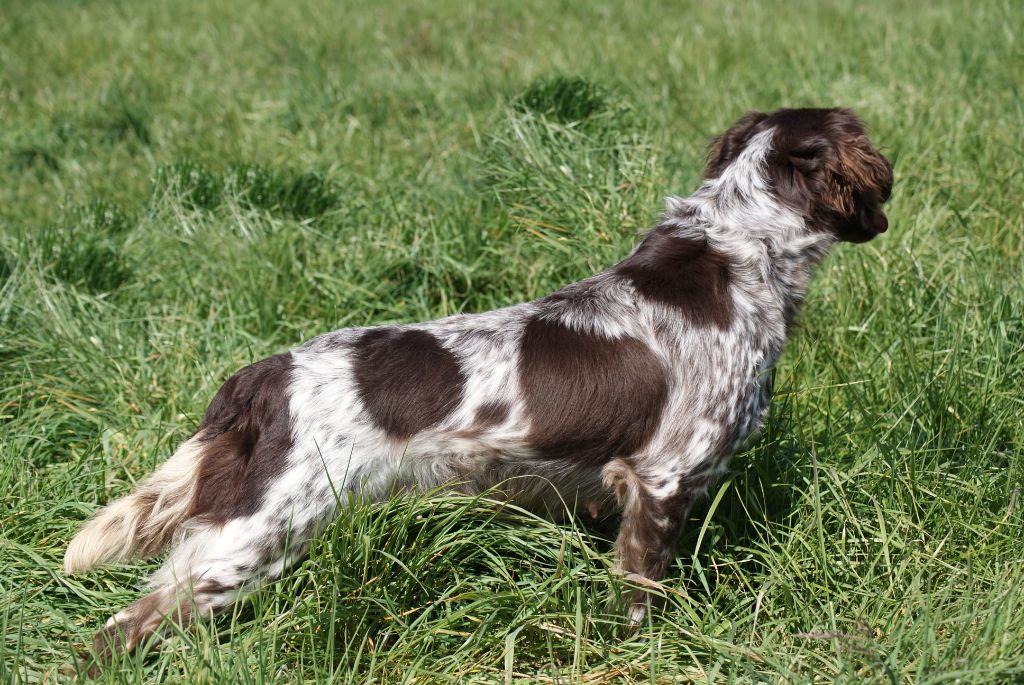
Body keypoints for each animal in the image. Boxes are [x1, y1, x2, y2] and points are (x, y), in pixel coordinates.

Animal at [64, 106, 892, 667]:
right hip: (259, 535)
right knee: (117, 630)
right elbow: (642, 596)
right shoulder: (660, 477)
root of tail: (258, 379)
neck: (736, 249)